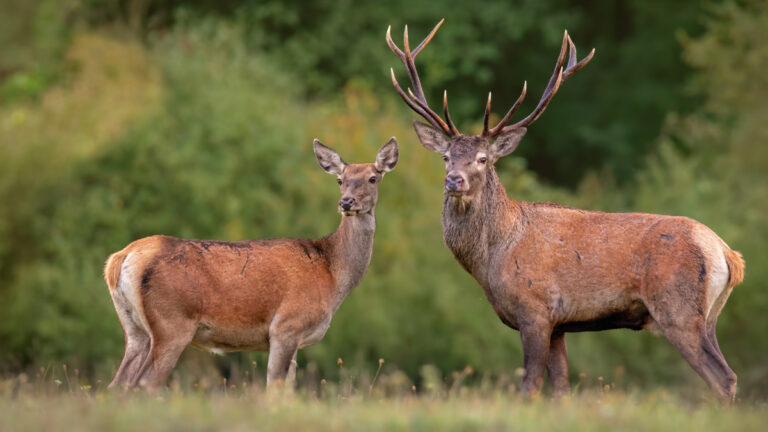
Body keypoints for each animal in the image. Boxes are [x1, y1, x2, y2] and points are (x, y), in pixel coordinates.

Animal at [103, 137, 399, 391]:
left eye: (373, 178)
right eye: (340, 180)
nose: (346, 202)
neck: (332, 274)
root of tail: (120, 259)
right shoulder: (286, 326)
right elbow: (274, 389)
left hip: (134, 329)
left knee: (117, 385)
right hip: (172, 324)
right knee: (142, 385)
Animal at [387, 20, 744, 402]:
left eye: (483, 159)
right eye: (446, 157)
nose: (454, 180)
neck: (493, 257)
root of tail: (727, 253)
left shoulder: (535, 310)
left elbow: (529, 386)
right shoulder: (560, 325)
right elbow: (560, 390)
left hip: (678, 309)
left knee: (722, 376)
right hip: (709, 316)